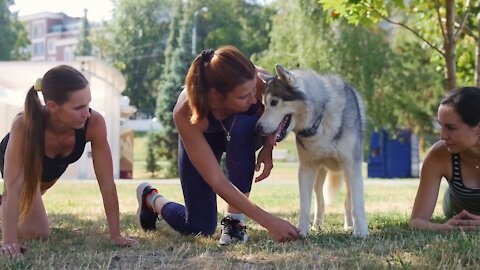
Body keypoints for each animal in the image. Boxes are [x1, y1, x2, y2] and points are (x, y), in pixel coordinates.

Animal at [256, 64, 370, 237]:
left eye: (274, 102)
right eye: (264, 104)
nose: (257, 128)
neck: (319, 120)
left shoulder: (352, 166)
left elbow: (358, 205)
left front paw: (362, 232)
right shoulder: (306, 169)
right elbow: (304, 206)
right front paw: (301, 232)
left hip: (347, 174)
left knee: (348, 201)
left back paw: (349, 226)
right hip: (319, 175)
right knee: (320, 200)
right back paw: (317, 225)